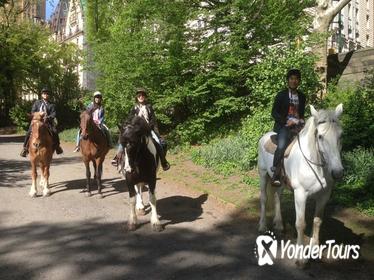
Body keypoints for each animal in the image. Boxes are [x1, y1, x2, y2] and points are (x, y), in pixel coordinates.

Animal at [258, 104, 344, 264]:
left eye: (340, 135)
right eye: (320, 136)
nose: (337, 172)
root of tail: (265, 136)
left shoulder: (324, 195)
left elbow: (317, 221)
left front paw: (315, 250)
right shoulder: (300, 194)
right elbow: (300, 223)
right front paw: (301, 258)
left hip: (280, 181)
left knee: (277, 197)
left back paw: (279, 225)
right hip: (262, 174)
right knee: (264, 199)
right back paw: (262, 226)